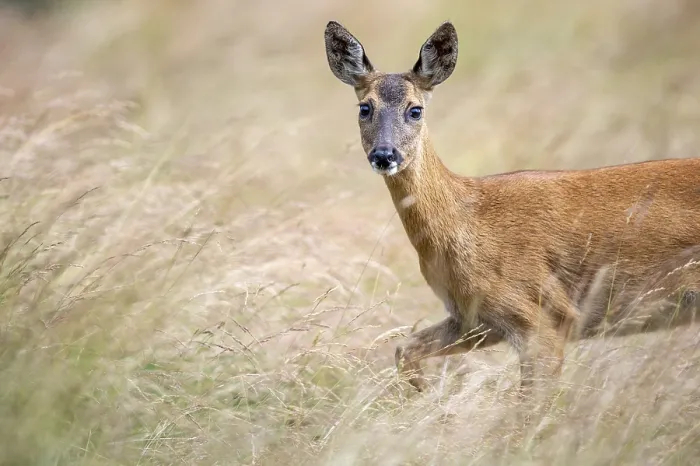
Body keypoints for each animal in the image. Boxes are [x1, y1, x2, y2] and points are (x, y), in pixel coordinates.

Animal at [324, 20, 700, 394]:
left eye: (415, 110)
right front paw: (424, 396)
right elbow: (405, 348)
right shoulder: (475, 318)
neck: (467, 220)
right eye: (365, 107)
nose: (384, 155)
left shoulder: (542, 315)